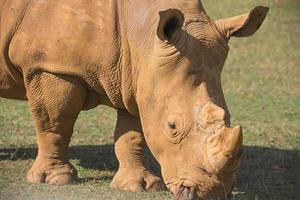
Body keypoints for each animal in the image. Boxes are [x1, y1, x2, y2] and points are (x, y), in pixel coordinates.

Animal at [0, 0, 268, 199]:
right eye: (172, 127)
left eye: (228, 117)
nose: (213, 193)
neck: (142, 33)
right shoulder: (51, 66)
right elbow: (56, 123)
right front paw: (56, 180)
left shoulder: (138, 77)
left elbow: (133, 132)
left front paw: (139, 186)